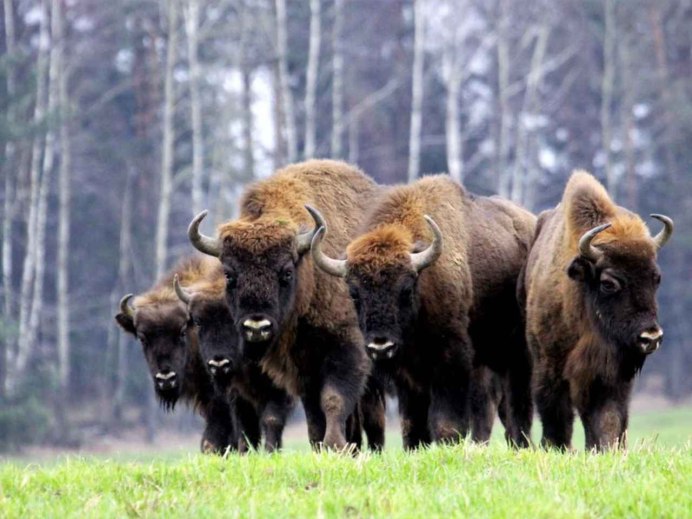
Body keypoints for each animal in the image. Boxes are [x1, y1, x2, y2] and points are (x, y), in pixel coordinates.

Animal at [521, 170, 673, 450]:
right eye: (608, 283)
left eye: (656, 278)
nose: (651, 338)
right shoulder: (549, 367)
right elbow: (556, 415)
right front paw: (556, 447)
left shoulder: (609, 375)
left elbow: (608, 417)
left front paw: (606, 448)